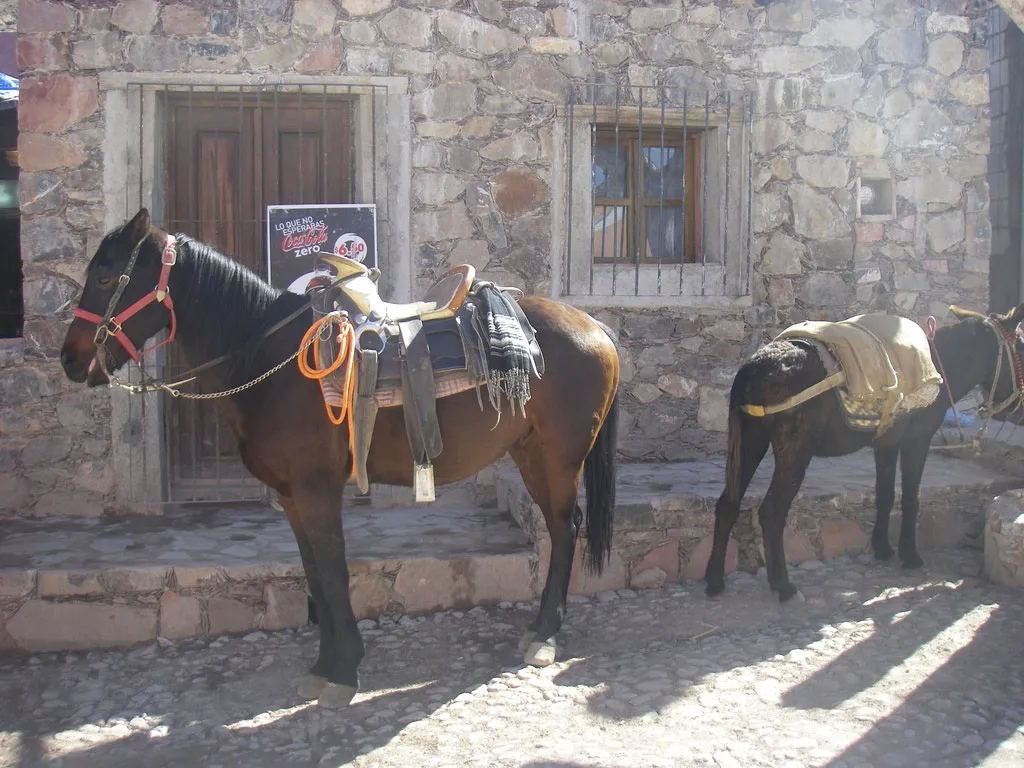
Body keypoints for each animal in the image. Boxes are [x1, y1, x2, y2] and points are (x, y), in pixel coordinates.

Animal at [59, 211, 618, 708]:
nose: (70, 358)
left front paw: (344, 670)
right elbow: (313, 572)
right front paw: (324, 666)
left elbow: (333, 573)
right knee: (562, 525)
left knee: (564, 528)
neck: (272, 360)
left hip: (557, 457)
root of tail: (594, 326)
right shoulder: (291, 496)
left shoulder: (317, 488)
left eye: (105, 276)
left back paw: (545, 634)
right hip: (529, 453)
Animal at [704, 303, 1024, 606]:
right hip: (794, 451)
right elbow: (911, 497)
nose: (1016, 409)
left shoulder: (886, 445)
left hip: (751, 441)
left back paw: (715, 581)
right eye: (1020, 345)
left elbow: (885, 495)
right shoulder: (917, 441)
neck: (938, 365)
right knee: (771, 512)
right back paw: (783, 587)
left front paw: (882, 548)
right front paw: (910, 556)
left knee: (728, 503)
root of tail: (756, 365)